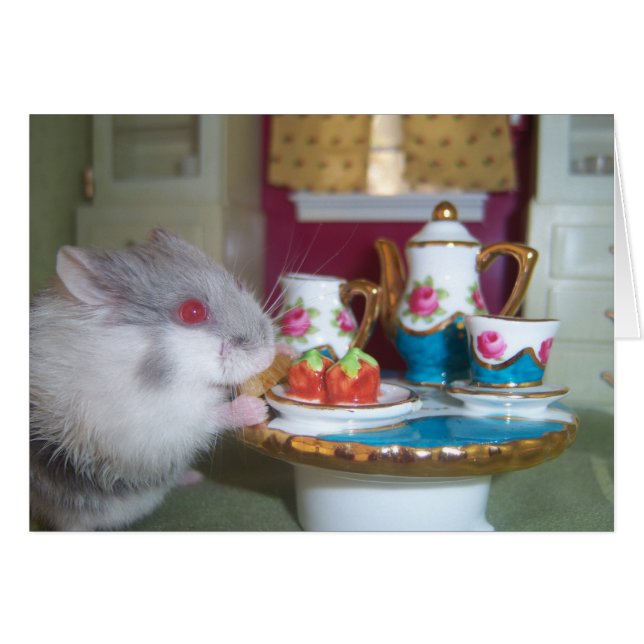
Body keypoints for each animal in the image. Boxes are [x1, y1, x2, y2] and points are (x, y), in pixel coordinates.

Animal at [29, 229, 276, 531]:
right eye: (192, 312)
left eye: (239, 284)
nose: (268, 356)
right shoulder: (140, 428)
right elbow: (203, 418)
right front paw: (257, 409)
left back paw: (192, 478)